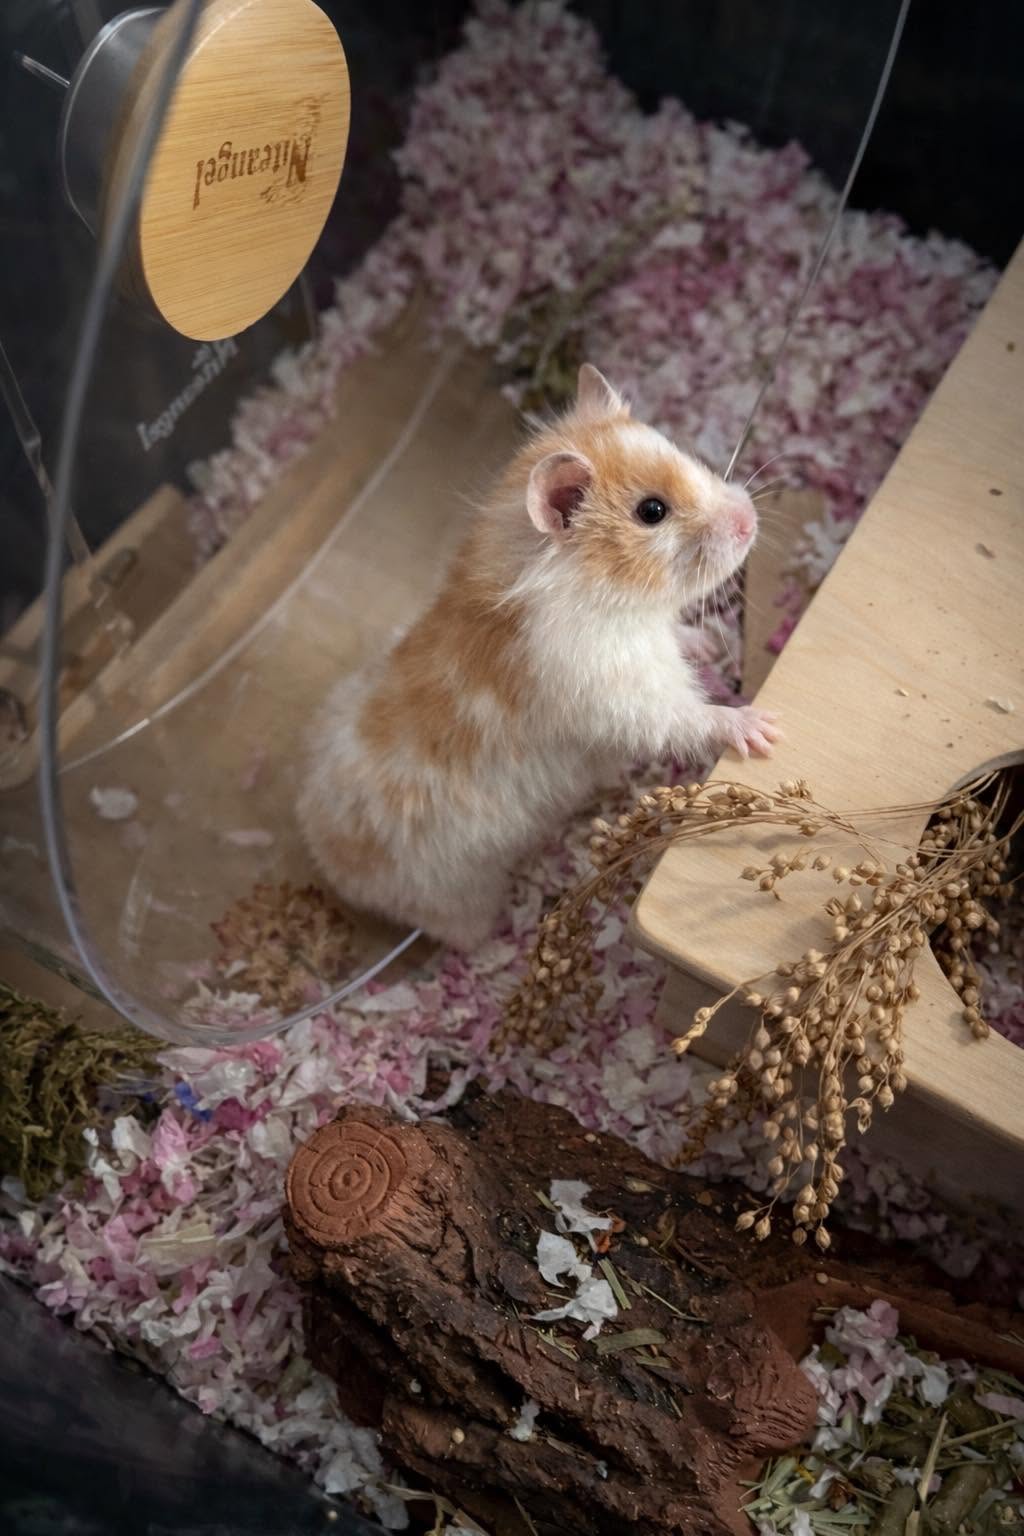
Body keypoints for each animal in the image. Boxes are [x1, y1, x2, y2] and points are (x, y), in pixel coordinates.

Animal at [298, 364, 779, 951]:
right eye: (652, 512)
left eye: (683, 452)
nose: (750, 519)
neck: (597, 591)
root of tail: (323, 857)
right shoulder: (621, 694)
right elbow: (687, 717)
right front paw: (761, 728)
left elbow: (681, 641)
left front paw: (706, 643)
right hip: (454, 896)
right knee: (464, 935)